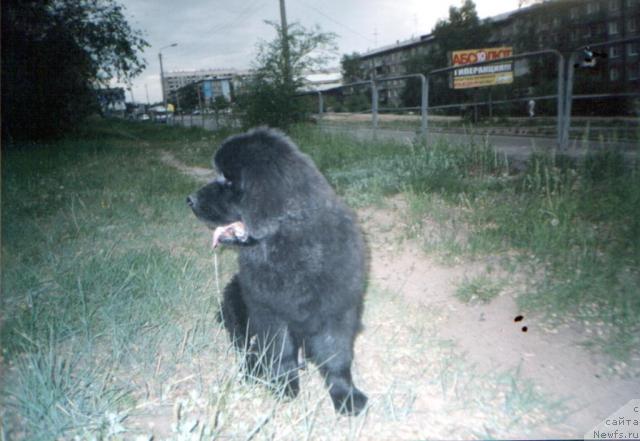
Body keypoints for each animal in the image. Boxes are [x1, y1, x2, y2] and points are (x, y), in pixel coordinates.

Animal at [186, 126, 364, 412]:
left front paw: (346, 395)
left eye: (228, 181)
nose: (189, 200)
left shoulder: (336, 310)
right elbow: (281, 351)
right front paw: (284, 386)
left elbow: (337, 356)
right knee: (248, 348)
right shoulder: (268, 311)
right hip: (234, 299)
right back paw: (251, 372)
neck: (286, 243)